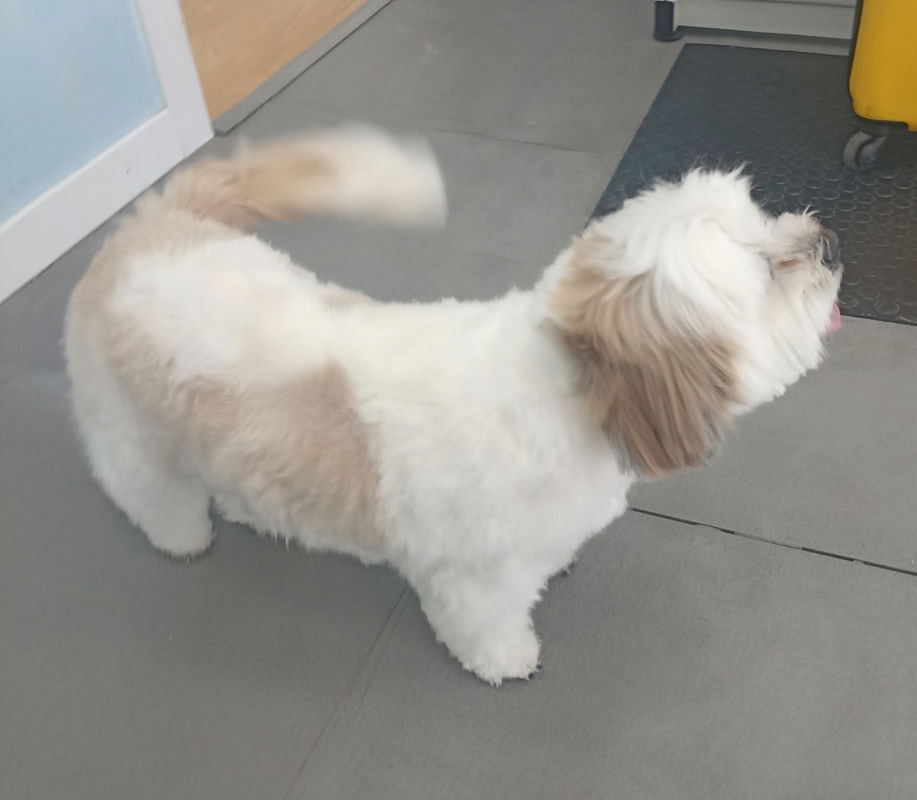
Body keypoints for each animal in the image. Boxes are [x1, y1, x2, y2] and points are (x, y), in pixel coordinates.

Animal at [65, 126, 843, 685]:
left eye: (766, 219)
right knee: (147, 489)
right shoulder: (477, 579)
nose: (827, 242)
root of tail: (150, 227)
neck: (567, 395)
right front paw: (508, 660)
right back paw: (181, 535)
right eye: (769, 269)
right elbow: (485, 627)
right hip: (126, 431)